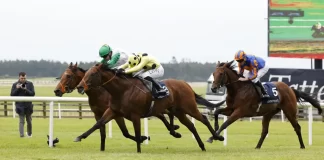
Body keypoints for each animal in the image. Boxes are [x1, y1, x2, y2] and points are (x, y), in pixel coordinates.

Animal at [52, 62, 180, 151]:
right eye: (61, 75)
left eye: (68, 76)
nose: (56, 90)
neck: (101, 92)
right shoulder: (99, 114)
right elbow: (101, 130)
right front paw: (102, 149)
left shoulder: (117, 115)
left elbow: (125, 133)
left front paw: (143, 138)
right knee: (163, 115)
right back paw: (174, 129)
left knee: (166, 114)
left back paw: (174, 130)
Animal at [73, 62, 225, 152]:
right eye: (85, 73)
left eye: (92, 74)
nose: (80, 86)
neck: (122, 90)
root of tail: (185, 84)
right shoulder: (113, 111)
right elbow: (98, 124)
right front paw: (79, 137)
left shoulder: (135, 116)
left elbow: (137, 133)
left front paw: (139, 150)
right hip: (179, 112)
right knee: (191, 126)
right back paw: (202, 145)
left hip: (189, 107)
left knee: (204, 119)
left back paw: (217, 137)